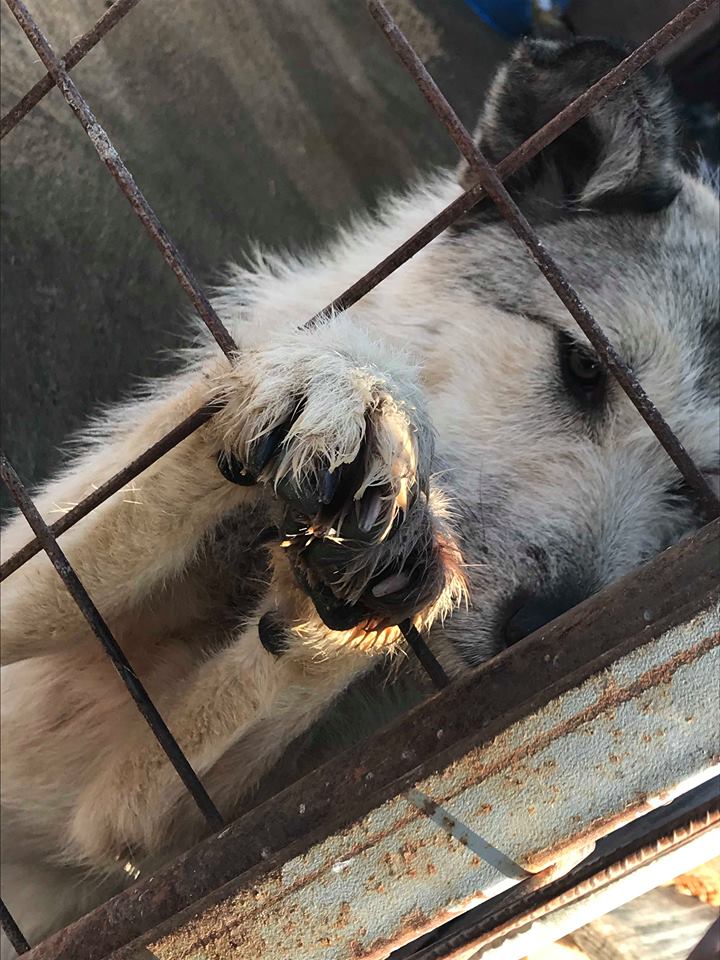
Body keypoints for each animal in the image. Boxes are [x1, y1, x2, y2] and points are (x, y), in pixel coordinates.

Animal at [1, 37, 720, 952]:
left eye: (697, 492)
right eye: (584, 366)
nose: (540, 629)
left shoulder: (122, 820)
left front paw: (358, 596)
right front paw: (340, 383)